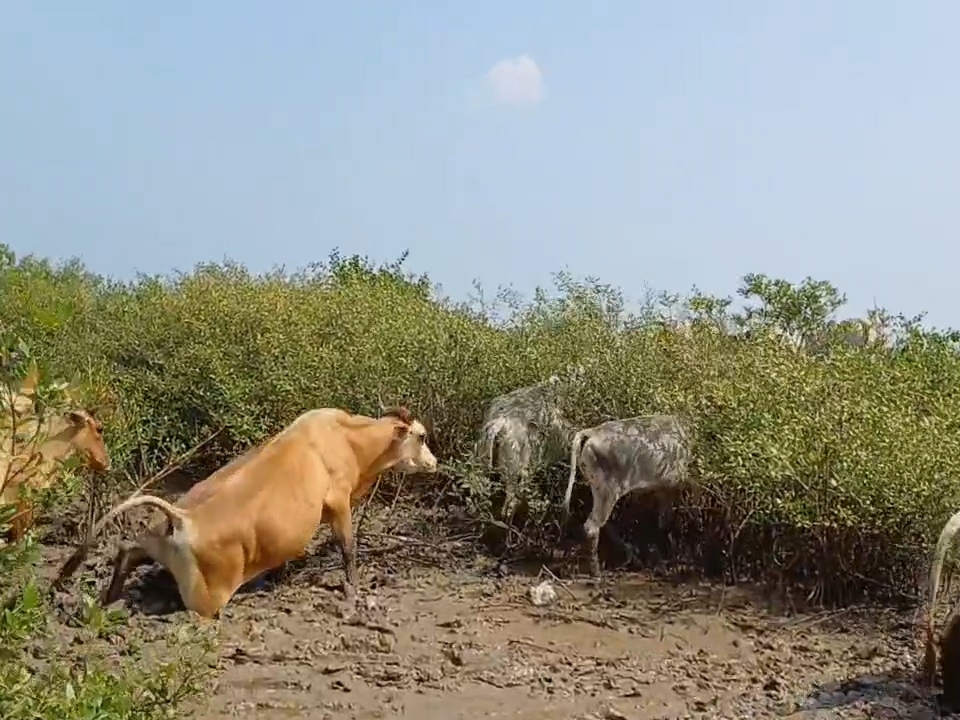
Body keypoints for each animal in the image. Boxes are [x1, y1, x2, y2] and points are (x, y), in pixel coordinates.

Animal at [54, 406, 437, 619]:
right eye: (421, 436)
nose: (434, 462)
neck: (347, 438)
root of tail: (181, 519)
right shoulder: (339, 502)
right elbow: (349, 550)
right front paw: (352, 592)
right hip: (205, 600)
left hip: (151, 541)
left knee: (126, 550)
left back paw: (109, 597)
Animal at [562, 415, 693, 577]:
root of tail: (591, 432)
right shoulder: (672, 486)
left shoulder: (662, 490)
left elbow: (662, 523)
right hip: (608, 490)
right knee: (591, 527)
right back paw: (598, 572)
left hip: (597, 488)